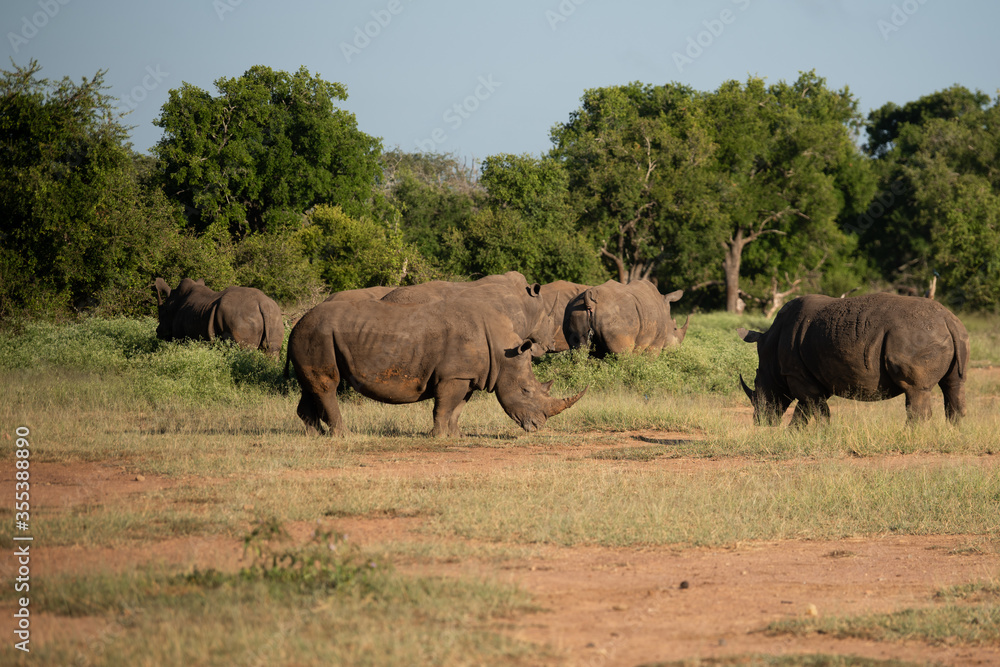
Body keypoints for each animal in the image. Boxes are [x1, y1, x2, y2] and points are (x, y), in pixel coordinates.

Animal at [154, 278, 284, 358]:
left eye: (163, 313)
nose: (157, 331)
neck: (174, 305)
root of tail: (262, 303)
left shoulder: (180, 336)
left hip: (241, 317)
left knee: (246, 350)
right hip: (274, 314)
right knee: (273, 351)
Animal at [286, 294, 584, 436]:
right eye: (526, 391)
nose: (538, 427)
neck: (503, 353)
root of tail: (296, 323)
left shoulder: (467, 377)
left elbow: (457, 409)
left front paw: (455, 436)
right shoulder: (453, 376)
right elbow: (443, 407)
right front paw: (438, 436)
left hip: (311, 336)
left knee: (311, 387)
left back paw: (315, 435)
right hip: (317, 335)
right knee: (327, 385)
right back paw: (342, 436)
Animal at [740, 292, 964, 428]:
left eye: (757, 383)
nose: (759, 422)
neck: (770, 346)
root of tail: (948, 319)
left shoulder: (796, 374)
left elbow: (815, 408)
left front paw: (822, 433)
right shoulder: (816, 375)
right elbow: (805, 409)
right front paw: (796, 434)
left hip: (916, 337)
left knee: (916, 390)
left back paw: (909, 434)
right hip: (953, 335)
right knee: (953, 385)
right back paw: (954, 431)